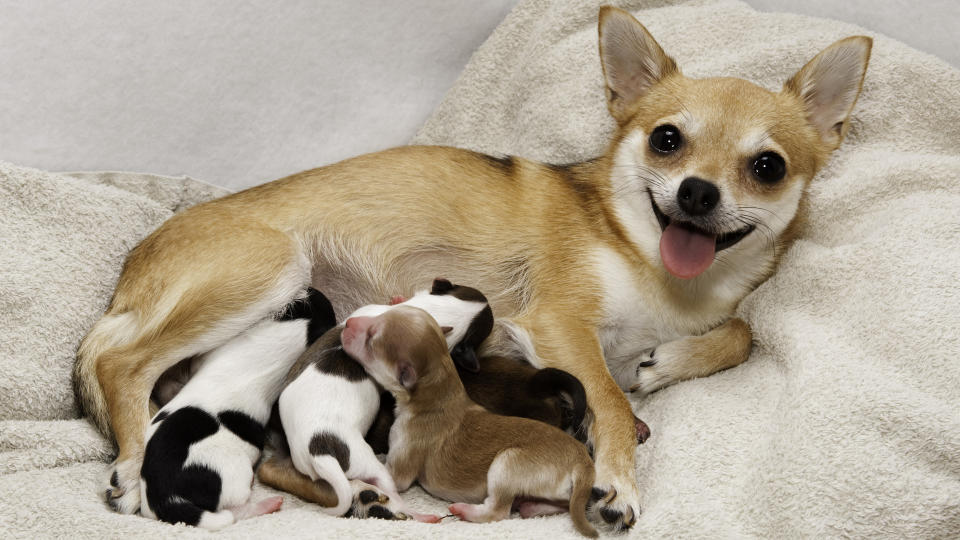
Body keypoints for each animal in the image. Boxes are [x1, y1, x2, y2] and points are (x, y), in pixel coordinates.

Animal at [342, 306, 600, 536]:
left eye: (371, 338)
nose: (347, 323)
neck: (438, 391)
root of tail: (583, 461)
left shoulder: (401, 463)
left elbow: (379, 475)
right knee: (560, 505)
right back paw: (531, 505)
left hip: (507, 463)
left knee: (498, 511)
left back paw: (466, 510)